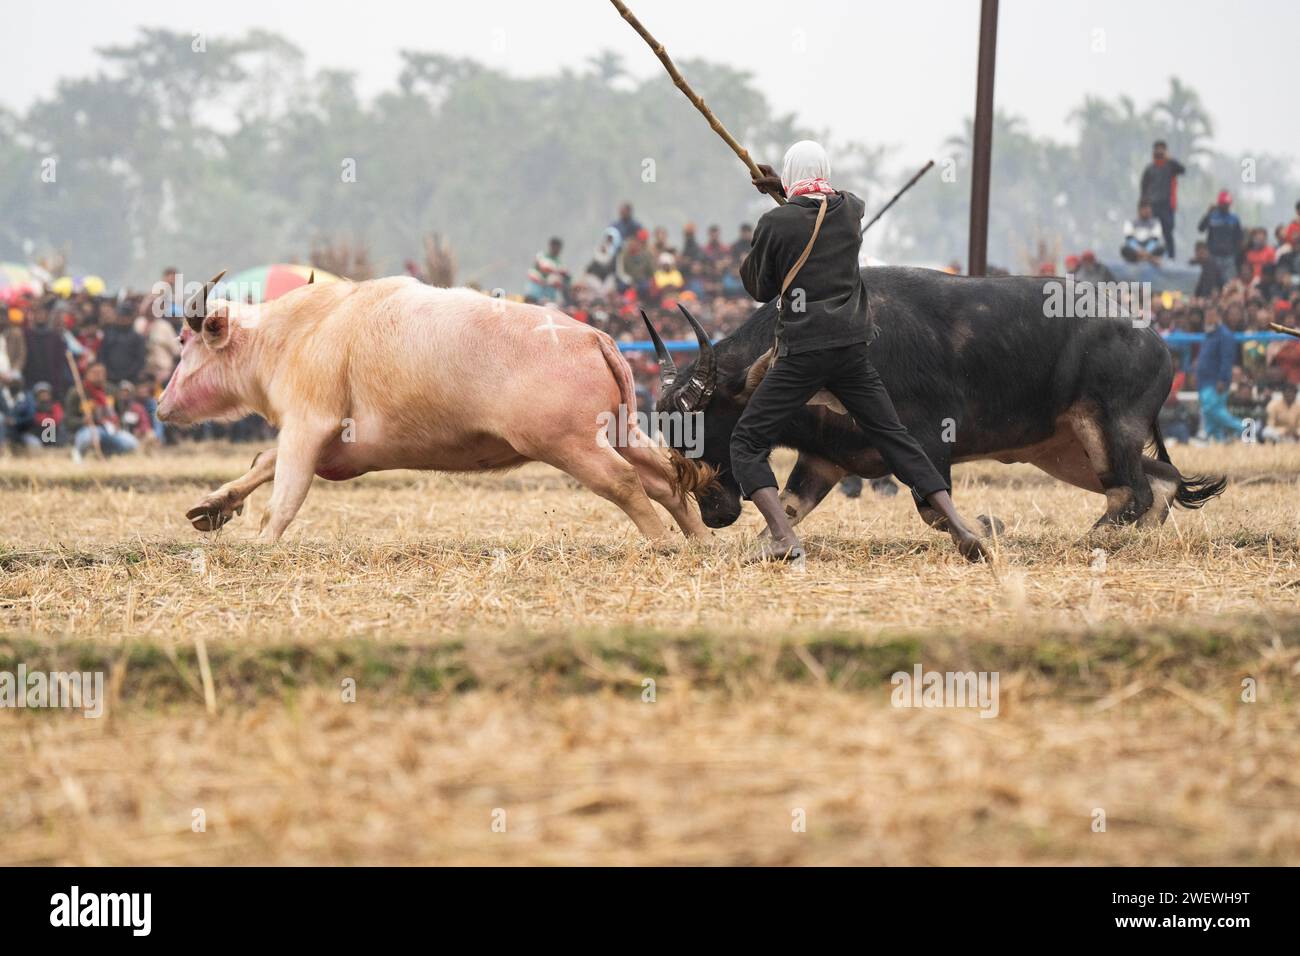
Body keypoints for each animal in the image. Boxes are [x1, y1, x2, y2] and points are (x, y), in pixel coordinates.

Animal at [644, 267, 1222, 538]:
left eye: (707, 423)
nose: (715, 512)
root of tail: (1155, 341)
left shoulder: (926, 440)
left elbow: (931, 507)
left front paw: (988, 527)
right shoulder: (825, 458)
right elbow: (787, 508)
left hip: (1105, 427)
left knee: (1133, 492)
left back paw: (1094, 540)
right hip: (1066, 450)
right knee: (1156, 484)